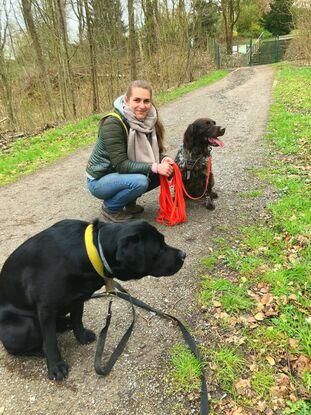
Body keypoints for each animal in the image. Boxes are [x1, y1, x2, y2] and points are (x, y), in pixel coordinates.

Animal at [0, 219, 185, 382]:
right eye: (159, 249)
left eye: (163, 241)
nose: (184, 254)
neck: (93, 251)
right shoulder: (46, 308)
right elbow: (50, 341)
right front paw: (55, 366)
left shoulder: (78, 298)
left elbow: (77, 319)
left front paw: (81, 336)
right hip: (25, 327)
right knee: (17, 347)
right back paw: (40, 350)